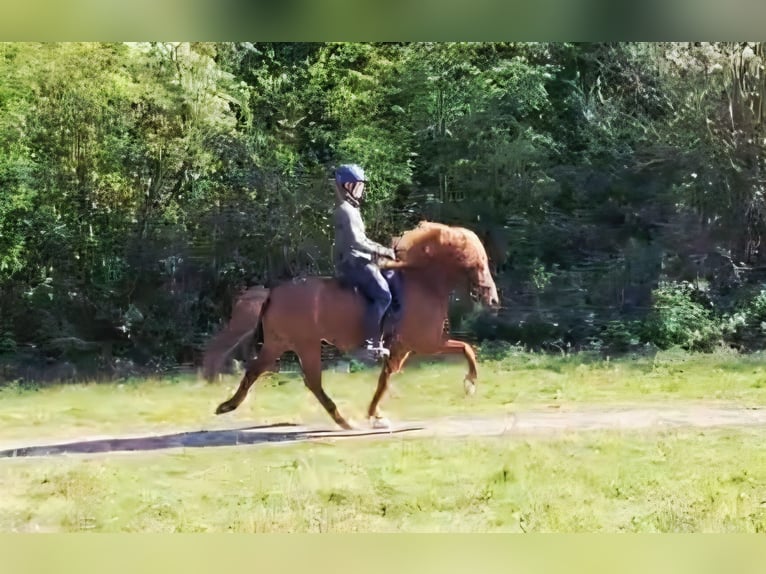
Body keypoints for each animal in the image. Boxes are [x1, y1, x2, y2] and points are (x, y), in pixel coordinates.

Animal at [202, 220, 500, 430]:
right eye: (479, 263)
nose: (493, 300)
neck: (424, 283)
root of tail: (273, 292)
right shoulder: (426, 343)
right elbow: (466, 349)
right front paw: (471, 383)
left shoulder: (402, 348)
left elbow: (384, 380)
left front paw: (375, 415)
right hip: (305, 345)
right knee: (312, 381)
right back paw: (343, 420)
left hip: (279, 343)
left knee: (255, 371)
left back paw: (227, 406)